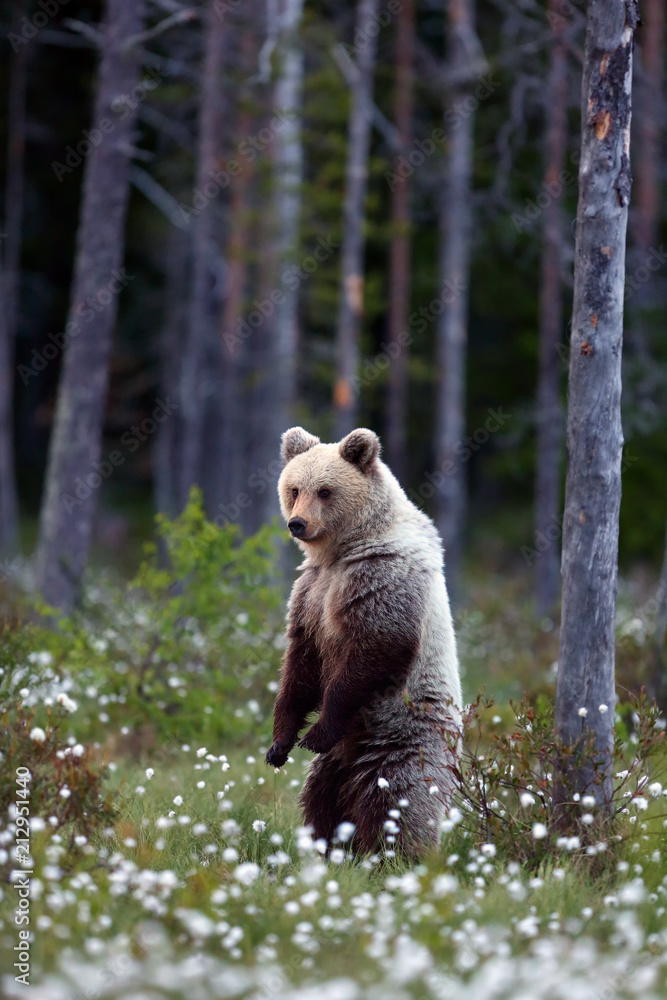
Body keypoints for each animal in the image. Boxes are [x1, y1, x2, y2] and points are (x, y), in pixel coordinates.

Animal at [265, 426, 462, 858]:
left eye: (325, 491)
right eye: (293, 488)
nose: (297, 524)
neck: (341, 551)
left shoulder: (381, 578)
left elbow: (376, 649)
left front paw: (316, 733)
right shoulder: (311, 592)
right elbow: (300, 664)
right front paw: (279, 745)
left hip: (403, 737)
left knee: (397, 800)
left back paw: (397, 855)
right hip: (335, 766)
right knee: (321, 799)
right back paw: (330, 848)